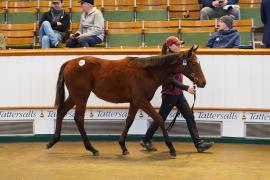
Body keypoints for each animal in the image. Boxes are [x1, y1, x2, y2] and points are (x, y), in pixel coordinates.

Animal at [47, 45, 207, 157]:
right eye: (193, 63)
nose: (203, 83)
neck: (147, 72)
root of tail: (70, 62)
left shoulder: (134, 102)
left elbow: (129, 121)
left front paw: (123, 147)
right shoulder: (141, 100)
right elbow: (159, 118)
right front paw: (171, 148)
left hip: (75, 96)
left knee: (61, 111)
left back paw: (53, 141)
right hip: (81, 96)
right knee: (78, 118)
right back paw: (92, 148)